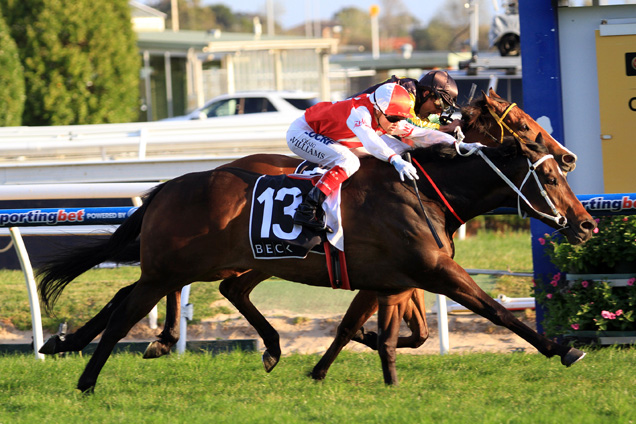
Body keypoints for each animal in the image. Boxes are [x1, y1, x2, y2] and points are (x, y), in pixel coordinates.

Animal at [41, 89, 580, 378]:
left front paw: (355, 346)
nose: (586, 221)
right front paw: (562, 348)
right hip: (197, 260)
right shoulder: (429, 269)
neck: (426, 189)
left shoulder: (390, 275)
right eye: (525, 129)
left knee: (197, 290)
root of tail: (169, 186)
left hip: (237, 260)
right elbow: (492, 310)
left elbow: (395, 328)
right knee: (146, 293)